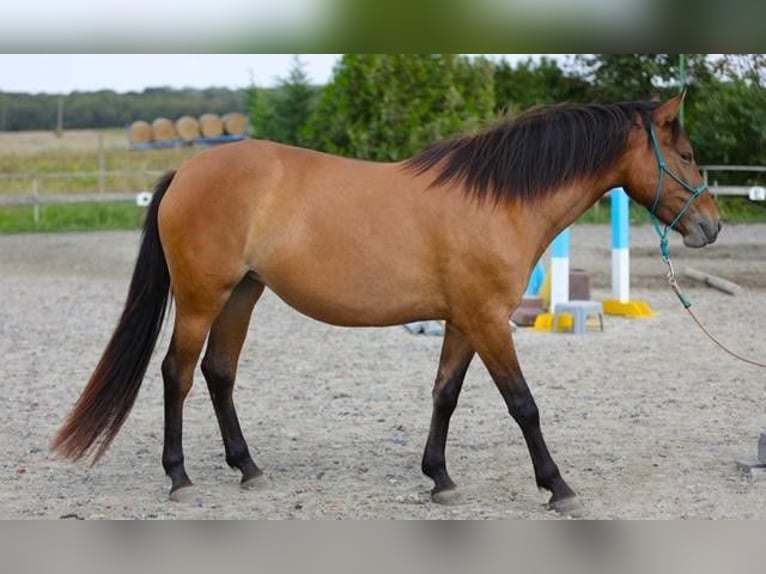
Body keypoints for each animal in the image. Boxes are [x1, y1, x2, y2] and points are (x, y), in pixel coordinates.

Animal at [52, 94, 720, 512]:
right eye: (687, 156)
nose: (710, 226)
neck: (496, 201)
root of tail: (186, 172)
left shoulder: (464, 322)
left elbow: (445, 395)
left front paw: (439, 477)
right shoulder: (489, 322)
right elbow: (523, 405)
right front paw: (557, 486)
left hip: (243, 294)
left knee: (219, 373)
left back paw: (247, 467)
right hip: (200, 299)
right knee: (178, 373)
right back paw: (180, 477)